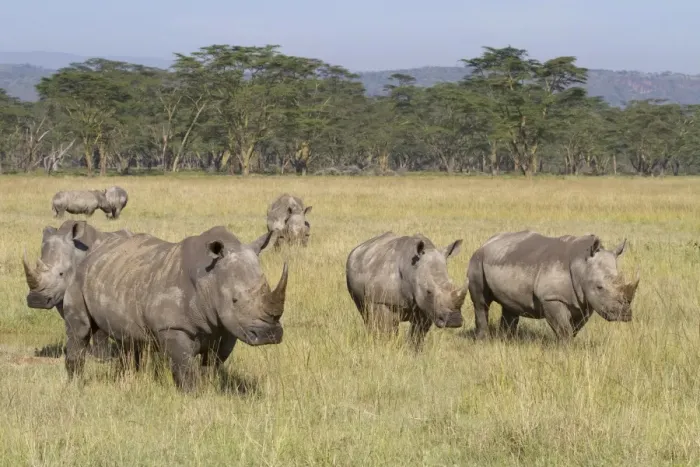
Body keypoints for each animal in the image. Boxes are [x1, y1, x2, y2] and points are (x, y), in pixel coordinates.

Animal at [23, 220, 133, 358]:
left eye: (61, 273)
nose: (36, 300)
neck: (77, 255)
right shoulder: (61, 295)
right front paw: (84, 353)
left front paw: (101, 358)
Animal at [61, 226, 289, 391]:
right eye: (234, 300)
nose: (269, 335)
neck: (210, 279)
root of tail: (94, 250)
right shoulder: (174, 328)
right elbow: (185, 367)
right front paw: (193, 396)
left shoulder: (227, 328)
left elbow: (212, 364)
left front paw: (209, 388)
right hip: (78, 278)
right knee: (80, 331)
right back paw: (75, 383)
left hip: (120, 276)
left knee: (127, 339)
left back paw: (125, 380)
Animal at [467, 230, 641, 340]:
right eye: (599, 287)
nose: (625, 315)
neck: (582, 265)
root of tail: (486, 242)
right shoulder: (551, 298)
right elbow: (563, 328)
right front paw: (566, 349)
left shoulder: (585, 302)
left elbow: (574, 328)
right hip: (477, 260)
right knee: (481, 303)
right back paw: (483, 340)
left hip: (505, 257)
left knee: (510, 305)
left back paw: (507, 340)